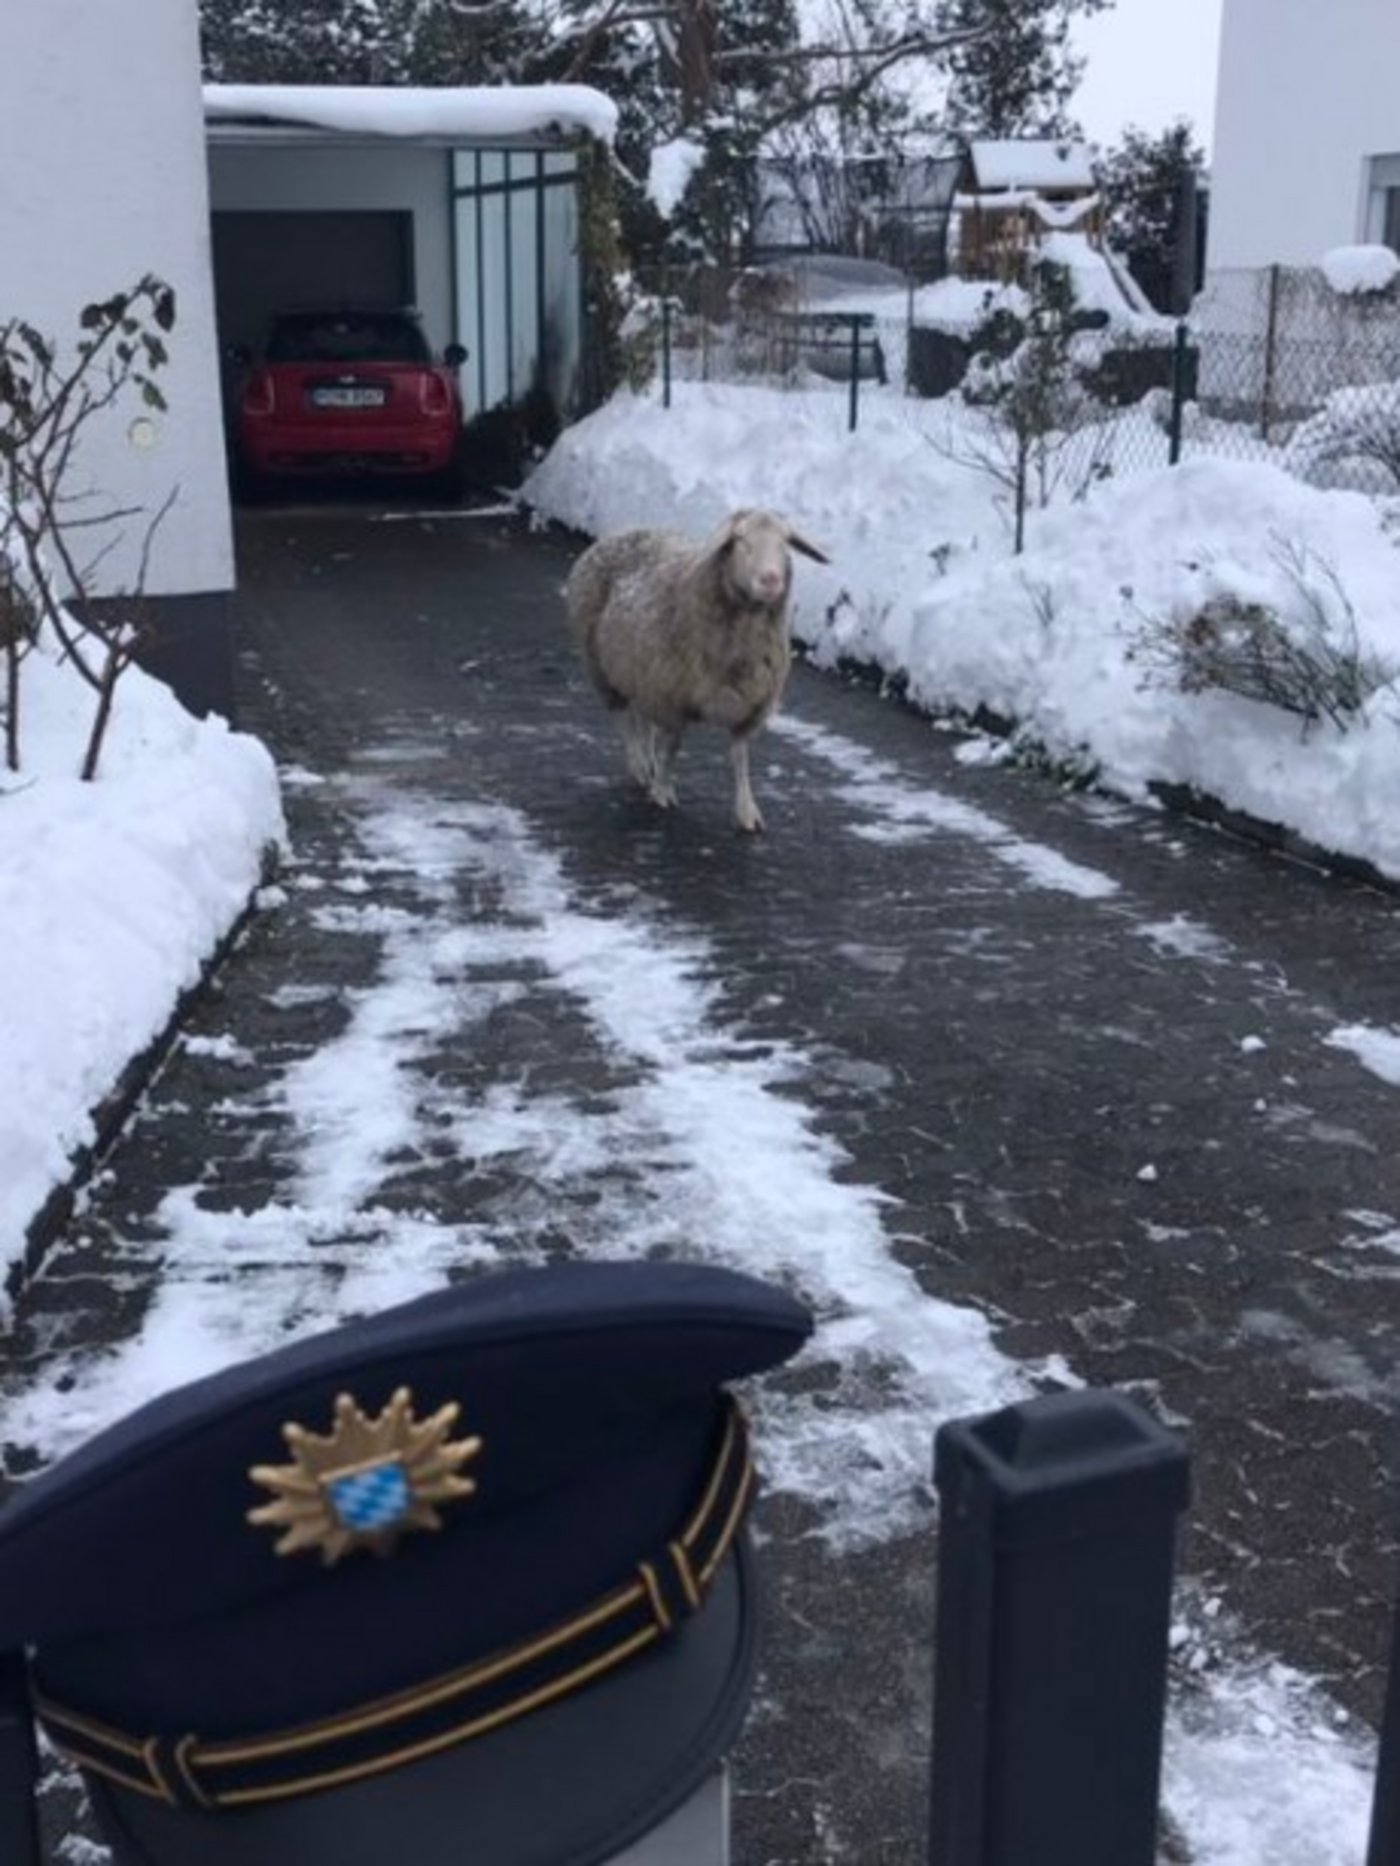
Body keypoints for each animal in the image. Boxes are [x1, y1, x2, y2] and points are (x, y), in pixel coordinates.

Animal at [565, 508, 830, 833]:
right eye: (740, 540)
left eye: (784, 543)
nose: (771, 579)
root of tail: (622, 532)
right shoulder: (671, 699)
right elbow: (672, 747)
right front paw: (663, 791)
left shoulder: (750, 706)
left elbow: (740, 758)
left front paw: (747, 811)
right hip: (601, 668)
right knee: (624, 720)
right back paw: (639, 766)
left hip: (637, 670)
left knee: (641, 719)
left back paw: (647, 763)